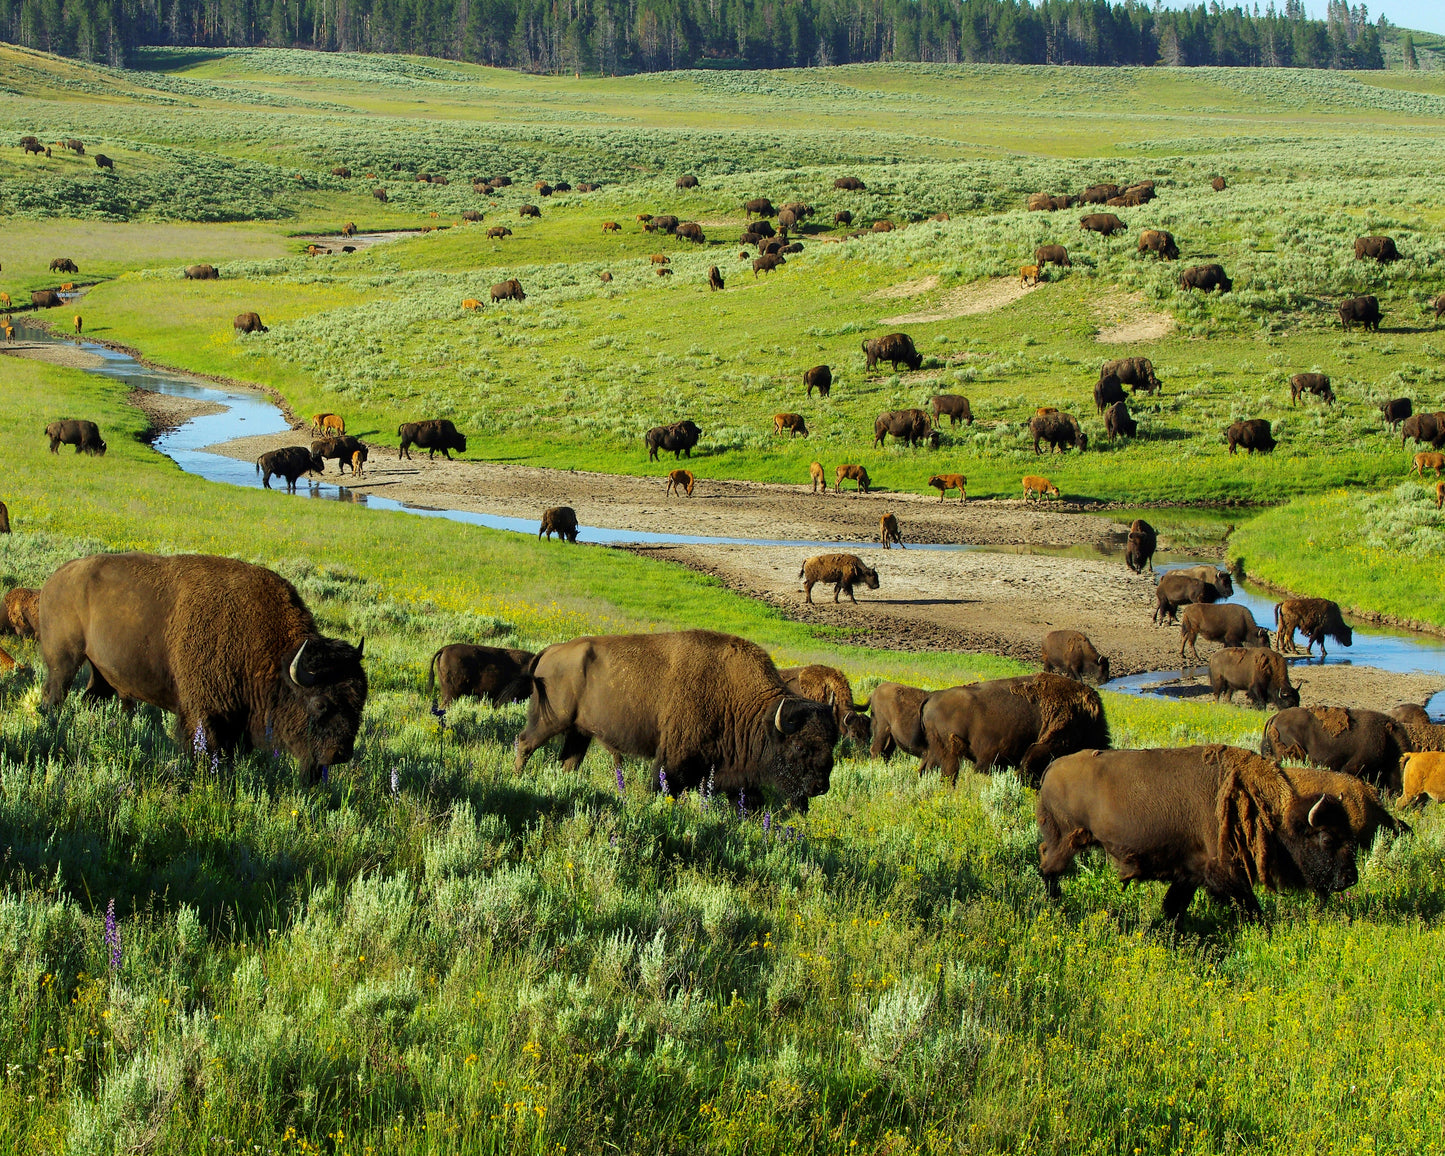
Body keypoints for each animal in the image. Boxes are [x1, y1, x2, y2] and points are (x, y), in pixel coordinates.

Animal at [41, 551, 367, 786]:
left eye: (359, 703)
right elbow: (206, 749)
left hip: (101, 674)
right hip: (64, 661)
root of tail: (56, 577)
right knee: (54, 694)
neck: (272, 658)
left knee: (90, 698)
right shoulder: (205, 714)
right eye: (321, 703)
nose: (340, 754)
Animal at [511, 627, 838, 809]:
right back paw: (517, 779)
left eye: (831, 745)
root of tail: (550, 651)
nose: (821, 786)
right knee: (525, 743)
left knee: (569, 761)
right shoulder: (674, 760)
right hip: (550, 721)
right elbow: (665, 787)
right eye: (799, 746)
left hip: (579, 731)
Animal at [919, 667, 1109, 786]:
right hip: (950, 754)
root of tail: (932, 697)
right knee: (948, 776)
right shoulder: (1039, 752)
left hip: (935, 752)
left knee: (926, 770)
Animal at [1040, 745, 1352, 924]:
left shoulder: (1190, 874)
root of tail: (1052, 766)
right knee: (1048, 868)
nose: (1350, 878)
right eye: (1327, 838)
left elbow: (1174, 906)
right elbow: (1250, 906)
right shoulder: (1222, 873)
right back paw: (1055, 904)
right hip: (1066, 839)